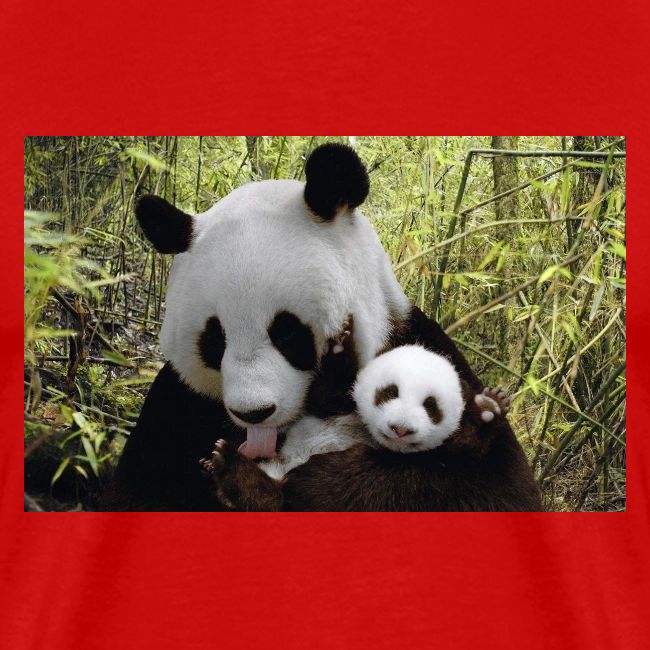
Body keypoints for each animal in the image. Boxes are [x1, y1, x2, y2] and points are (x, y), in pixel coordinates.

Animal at [100, 143, 541, 512]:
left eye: (287, 333)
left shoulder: (419, 345)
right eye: (215, 340)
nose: (254, 413)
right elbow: (139, 492)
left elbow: (489, 488)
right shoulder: (178, 404)